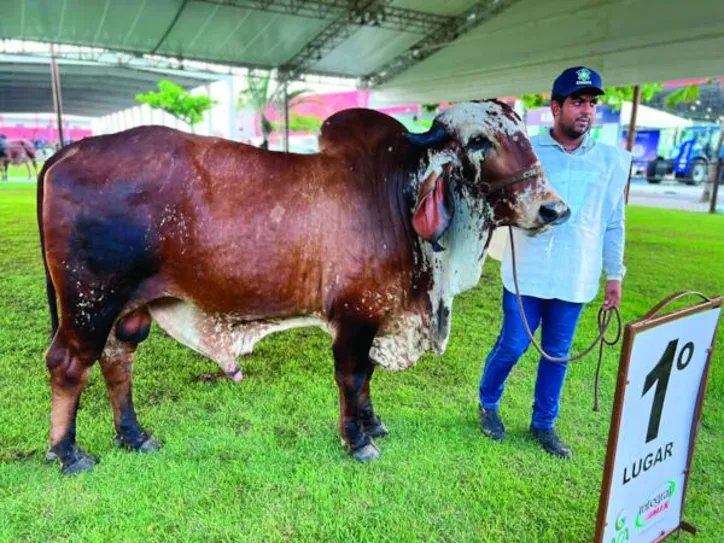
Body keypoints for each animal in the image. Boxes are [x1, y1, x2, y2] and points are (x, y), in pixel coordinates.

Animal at [36, 101, 568, 472]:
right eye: (479, 141)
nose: (553, 209)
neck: (395, 194)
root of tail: (72, 149)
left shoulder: (376, 312)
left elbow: (368, 376)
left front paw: (373, 423)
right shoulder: (355, 314)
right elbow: (352, 376)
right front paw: (357, 441)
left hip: (127, 309)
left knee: (116, 359)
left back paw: (133, 435)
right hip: (89, 303)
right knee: (68, 365)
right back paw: (67, 453)